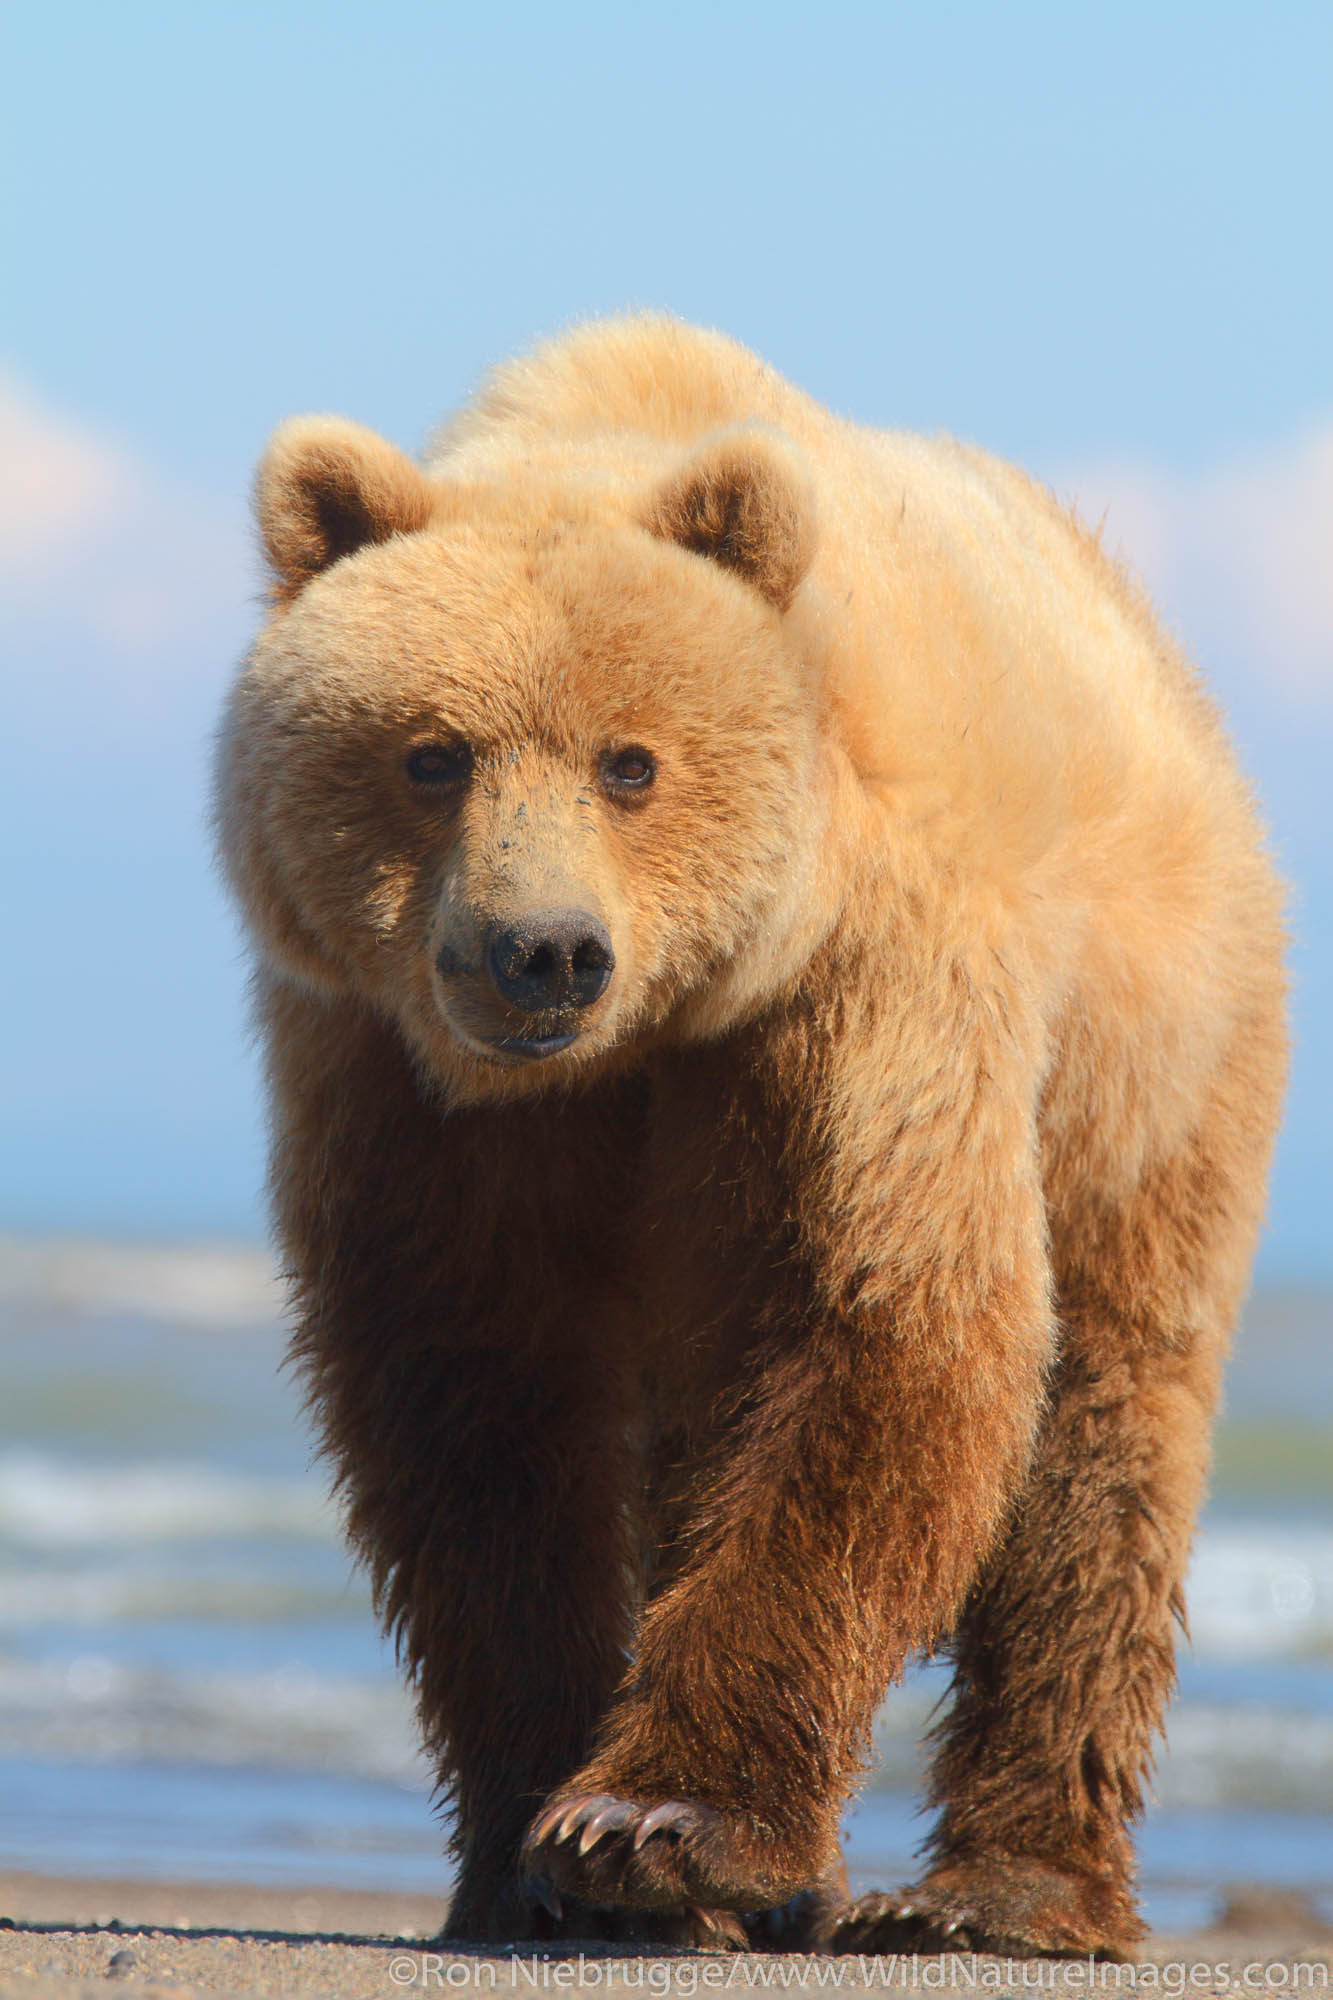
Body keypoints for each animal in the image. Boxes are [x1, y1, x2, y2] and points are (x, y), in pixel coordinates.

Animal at [213, 312, 1280, 1952]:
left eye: (629, 761)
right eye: (433, 752)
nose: (542, 952)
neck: (649, 1039)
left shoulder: (864, 988)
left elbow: (886, 1320)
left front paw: (654, 1826)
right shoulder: (397, 1075)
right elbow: (470, 1400)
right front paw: (533, 1850)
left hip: (1156, 1066)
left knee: (1103, 1429)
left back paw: (1001, 1890)